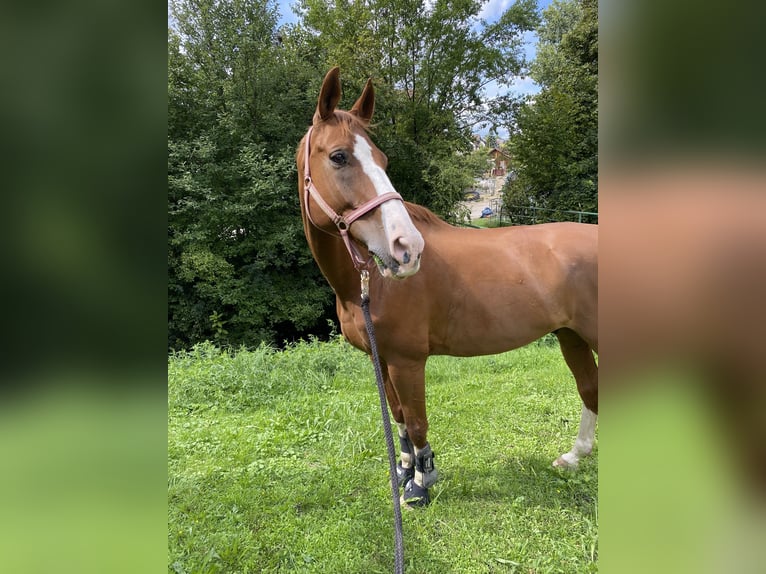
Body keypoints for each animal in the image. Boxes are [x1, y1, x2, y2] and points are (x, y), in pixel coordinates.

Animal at [296, 68, 596, 508]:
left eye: (383, 160)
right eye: (338, 156)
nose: (407, 248)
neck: (369, 286)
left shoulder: (408, 361)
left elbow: (418, 421)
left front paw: (421, 483)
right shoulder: (382, 360)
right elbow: (400, 420)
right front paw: (404, 472)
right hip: (571, 336)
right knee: (590, 387)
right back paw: (574, 457)